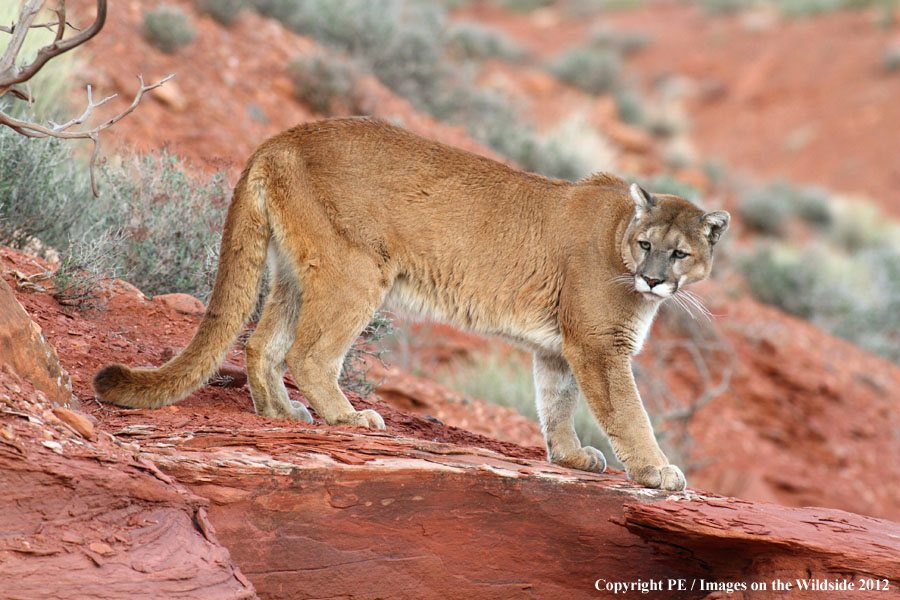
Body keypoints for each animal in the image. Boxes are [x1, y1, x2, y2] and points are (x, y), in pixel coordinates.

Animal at [95, 116, 728, 488]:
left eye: (678, 254)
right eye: (647, 246)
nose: (652, 280)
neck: (618, 234)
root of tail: (282, 137)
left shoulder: (560, 349)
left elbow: (556, 403)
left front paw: (570, 457)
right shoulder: (599, 346)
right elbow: (628, 414)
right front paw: (657, 471)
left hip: (293, 271)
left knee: (261, 343)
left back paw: (282, 413)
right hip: (356, 272)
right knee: (309, 354)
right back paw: (347, 415)